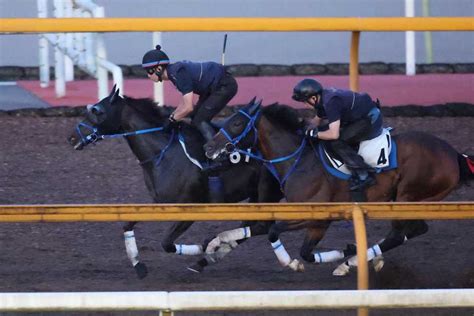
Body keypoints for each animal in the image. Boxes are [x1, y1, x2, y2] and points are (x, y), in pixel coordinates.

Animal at [66, 85, 282, 278]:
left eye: (97, 111)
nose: (71, 137)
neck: (163, 154)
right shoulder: (158, 202)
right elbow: (127, 225)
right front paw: (138, 265)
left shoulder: (189, 209)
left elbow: (166, 243)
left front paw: (202, 246)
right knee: (251, 225)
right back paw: (205, 260)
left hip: (269, 192)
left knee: (261, 227)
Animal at [204, 100, 474, 276]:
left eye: (237, 122)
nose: (209, 147)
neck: (299, 160)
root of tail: (454, 155)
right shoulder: (317, 223)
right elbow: (304, 250)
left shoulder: (317, 215)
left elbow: (274, 232)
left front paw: (290, 262)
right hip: (414, 200)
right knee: (415, 230)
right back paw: (359, 258)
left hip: (408, 197)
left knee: (399, 234)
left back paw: (354, 262)